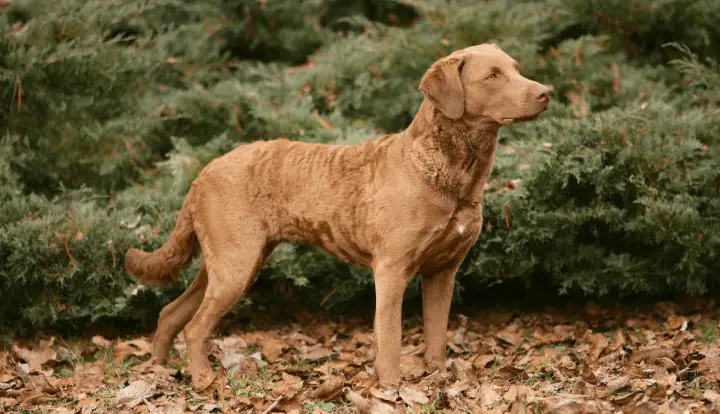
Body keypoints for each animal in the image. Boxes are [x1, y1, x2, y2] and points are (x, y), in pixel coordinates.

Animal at [125, 43, 552, 390]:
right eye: (492, 76)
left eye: (516, 68)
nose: (546, 92)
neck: (448, 174)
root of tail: (203, 172)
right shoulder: (392, 269)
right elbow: (390, 338)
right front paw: (391, 387)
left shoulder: (443, 271)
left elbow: (437, 335)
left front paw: (438, 378)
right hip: (235, 264)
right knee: (195, 326)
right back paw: (202, 379)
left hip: (227, 262)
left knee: (171, 313)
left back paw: (158, 373)